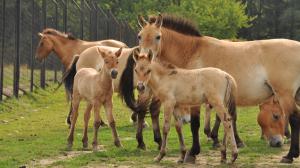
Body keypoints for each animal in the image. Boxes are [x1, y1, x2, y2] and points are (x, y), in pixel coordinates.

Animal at [120, 13, 300, 163]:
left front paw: (193, 153)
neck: (192, 51)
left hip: (285, 95)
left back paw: (289, 155)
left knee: (294, 118)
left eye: (158, 37)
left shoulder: (198, 101)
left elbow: (196, 124)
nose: (144, 56)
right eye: (139, 36)